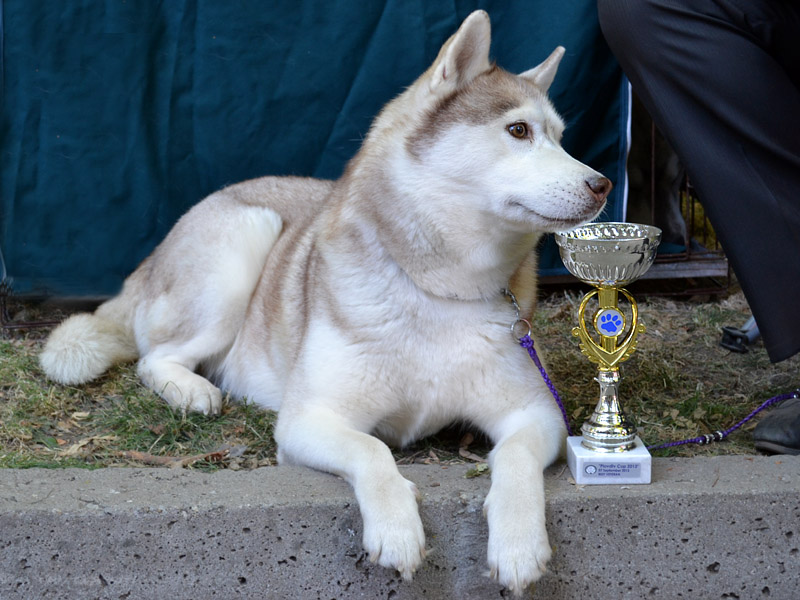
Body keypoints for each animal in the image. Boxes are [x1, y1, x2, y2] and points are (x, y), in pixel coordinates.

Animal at [40, 9, 608, 596]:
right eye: (518, 130)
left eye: (561, 138)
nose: (603, 184)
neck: (438, 288)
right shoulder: (309, 419)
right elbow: (372, 450)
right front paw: (396, 528)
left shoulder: (537, 413)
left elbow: (513, 458)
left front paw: (518, 543)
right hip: (243, 241)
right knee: (155, 358)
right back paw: (192, 390)